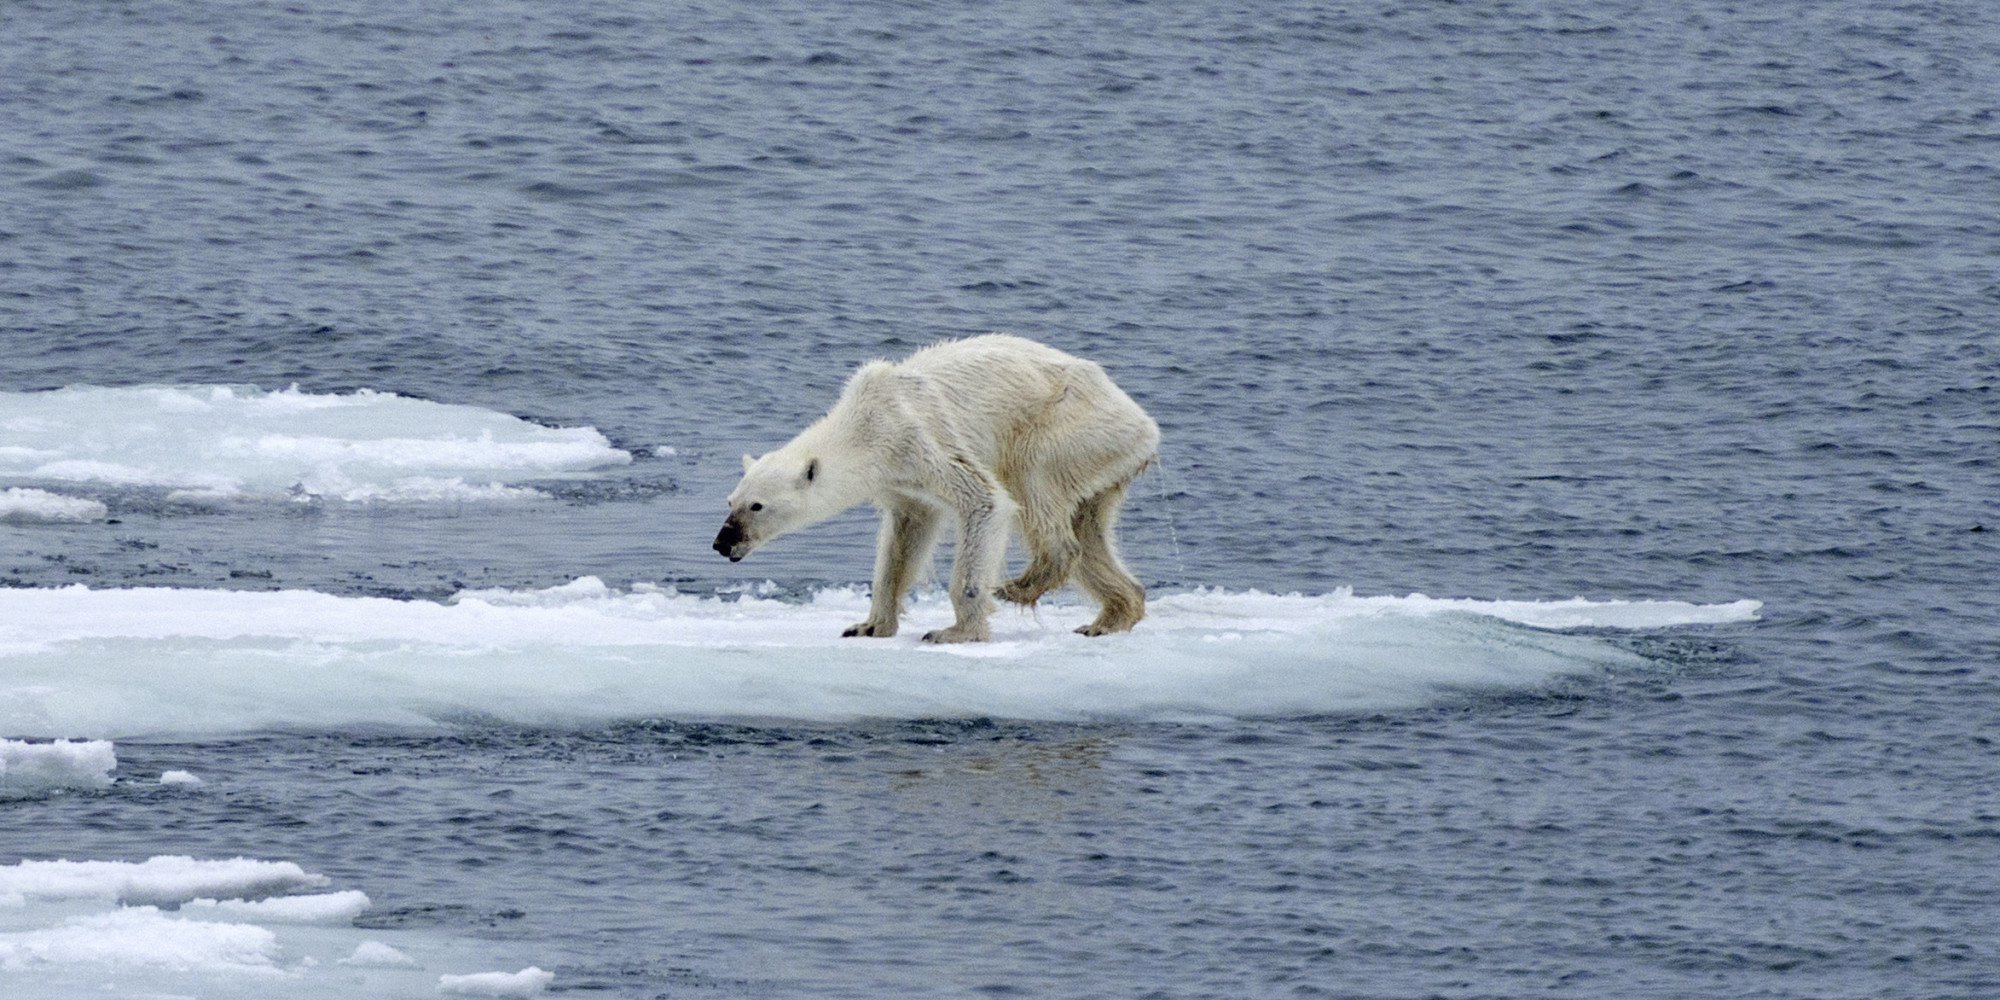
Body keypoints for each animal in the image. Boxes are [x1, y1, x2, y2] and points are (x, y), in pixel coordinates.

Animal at [716, 336, 1160, 644]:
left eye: (757, 506)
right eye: (730, 501)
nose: (723, 543)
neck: (865, 423)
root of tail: (1145, 424)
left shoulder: (919, 439)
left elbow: (985, 501)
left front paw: (955, 632)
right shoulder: (900, 480)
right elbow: (904, 538)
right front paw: (868, 625)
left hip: (1069, 426)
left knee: (1033, 481)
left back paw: (1021, 585)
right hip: (1102, 459)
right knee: (1090, 529)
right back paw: (1109, 617)